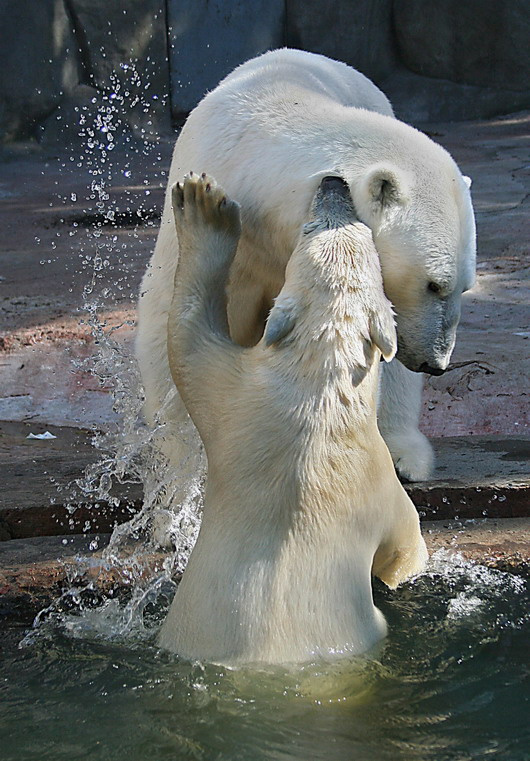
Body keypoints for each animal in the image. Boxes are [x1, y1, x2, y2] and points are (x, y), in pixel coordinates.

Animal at [157, 172, 428, 664]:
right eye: (311, 228)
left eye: (358, 230)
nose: (335, 183)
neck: (316, 393)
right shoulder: (379, 481)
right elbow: (406, 544)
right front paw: (205, 203)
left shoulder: (236, 401)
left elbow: (190, 343)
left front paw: (202, 205)